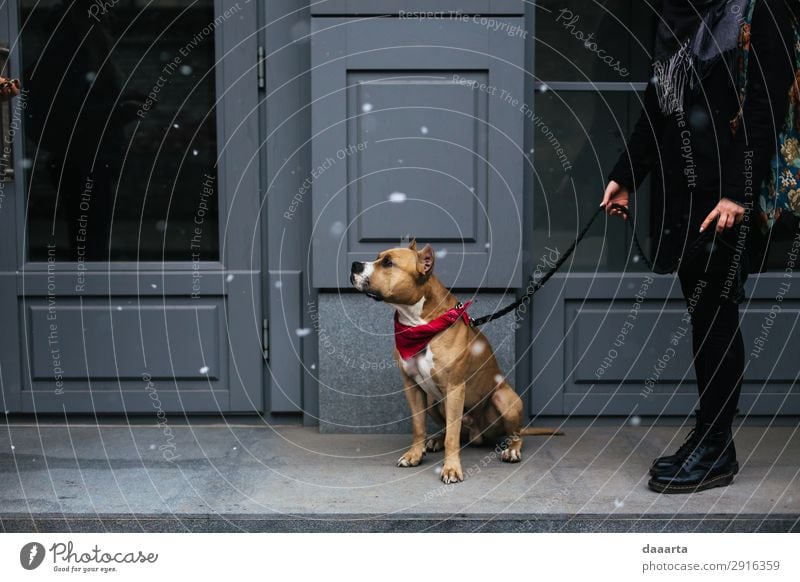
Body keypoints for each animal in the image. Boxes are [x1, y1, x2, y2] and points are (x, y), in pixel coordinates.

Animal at [346, 240, 560, 486]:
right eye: (378, 257)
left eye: (389, 263)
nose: (354, 264)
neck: (419, 326)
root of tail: (478, 434)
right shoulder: (412, 386)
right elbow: (418, 426)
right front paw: (414, 454)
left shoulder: (455, 387)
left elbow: (452, 438)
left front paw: (451, 469)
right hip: (433, 401)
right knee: (454, 430)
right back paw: (436, 440)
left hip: (504, 399)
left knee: (511, 434)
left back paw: (512, 450)